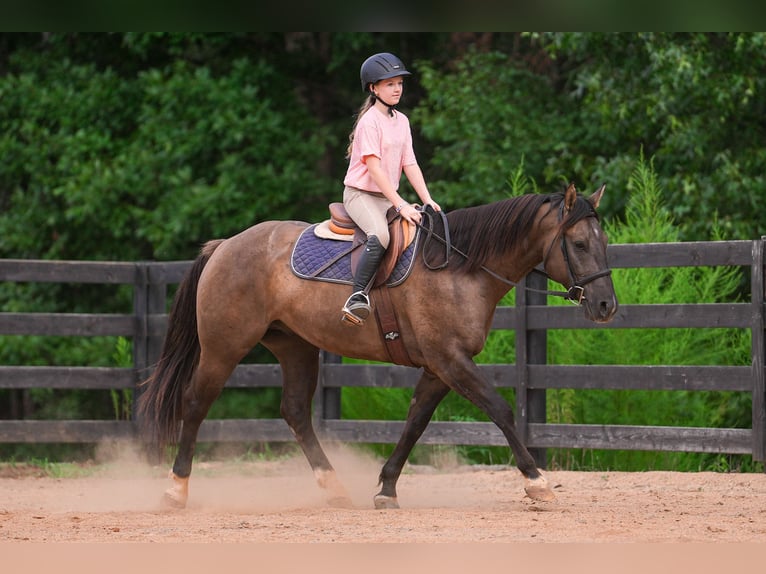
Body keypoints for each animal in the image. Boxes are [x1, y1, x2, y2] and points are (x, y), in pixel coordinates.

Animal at [137, 182, 618, 509]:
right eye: (578, 244)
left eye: (605, 242)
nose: (606, 305)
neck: (460, 269)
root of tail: (226, 246)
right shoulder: (451, 360)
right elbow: (499, 409)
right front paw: (537, 482)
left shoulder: (439, 367)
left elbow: (415, 422)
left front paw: (386, 488)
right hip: (224, 347)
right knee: (195, 403)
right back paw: (175, 489)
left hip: (296, 348)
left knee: (295, 413)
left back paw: (334, 488)